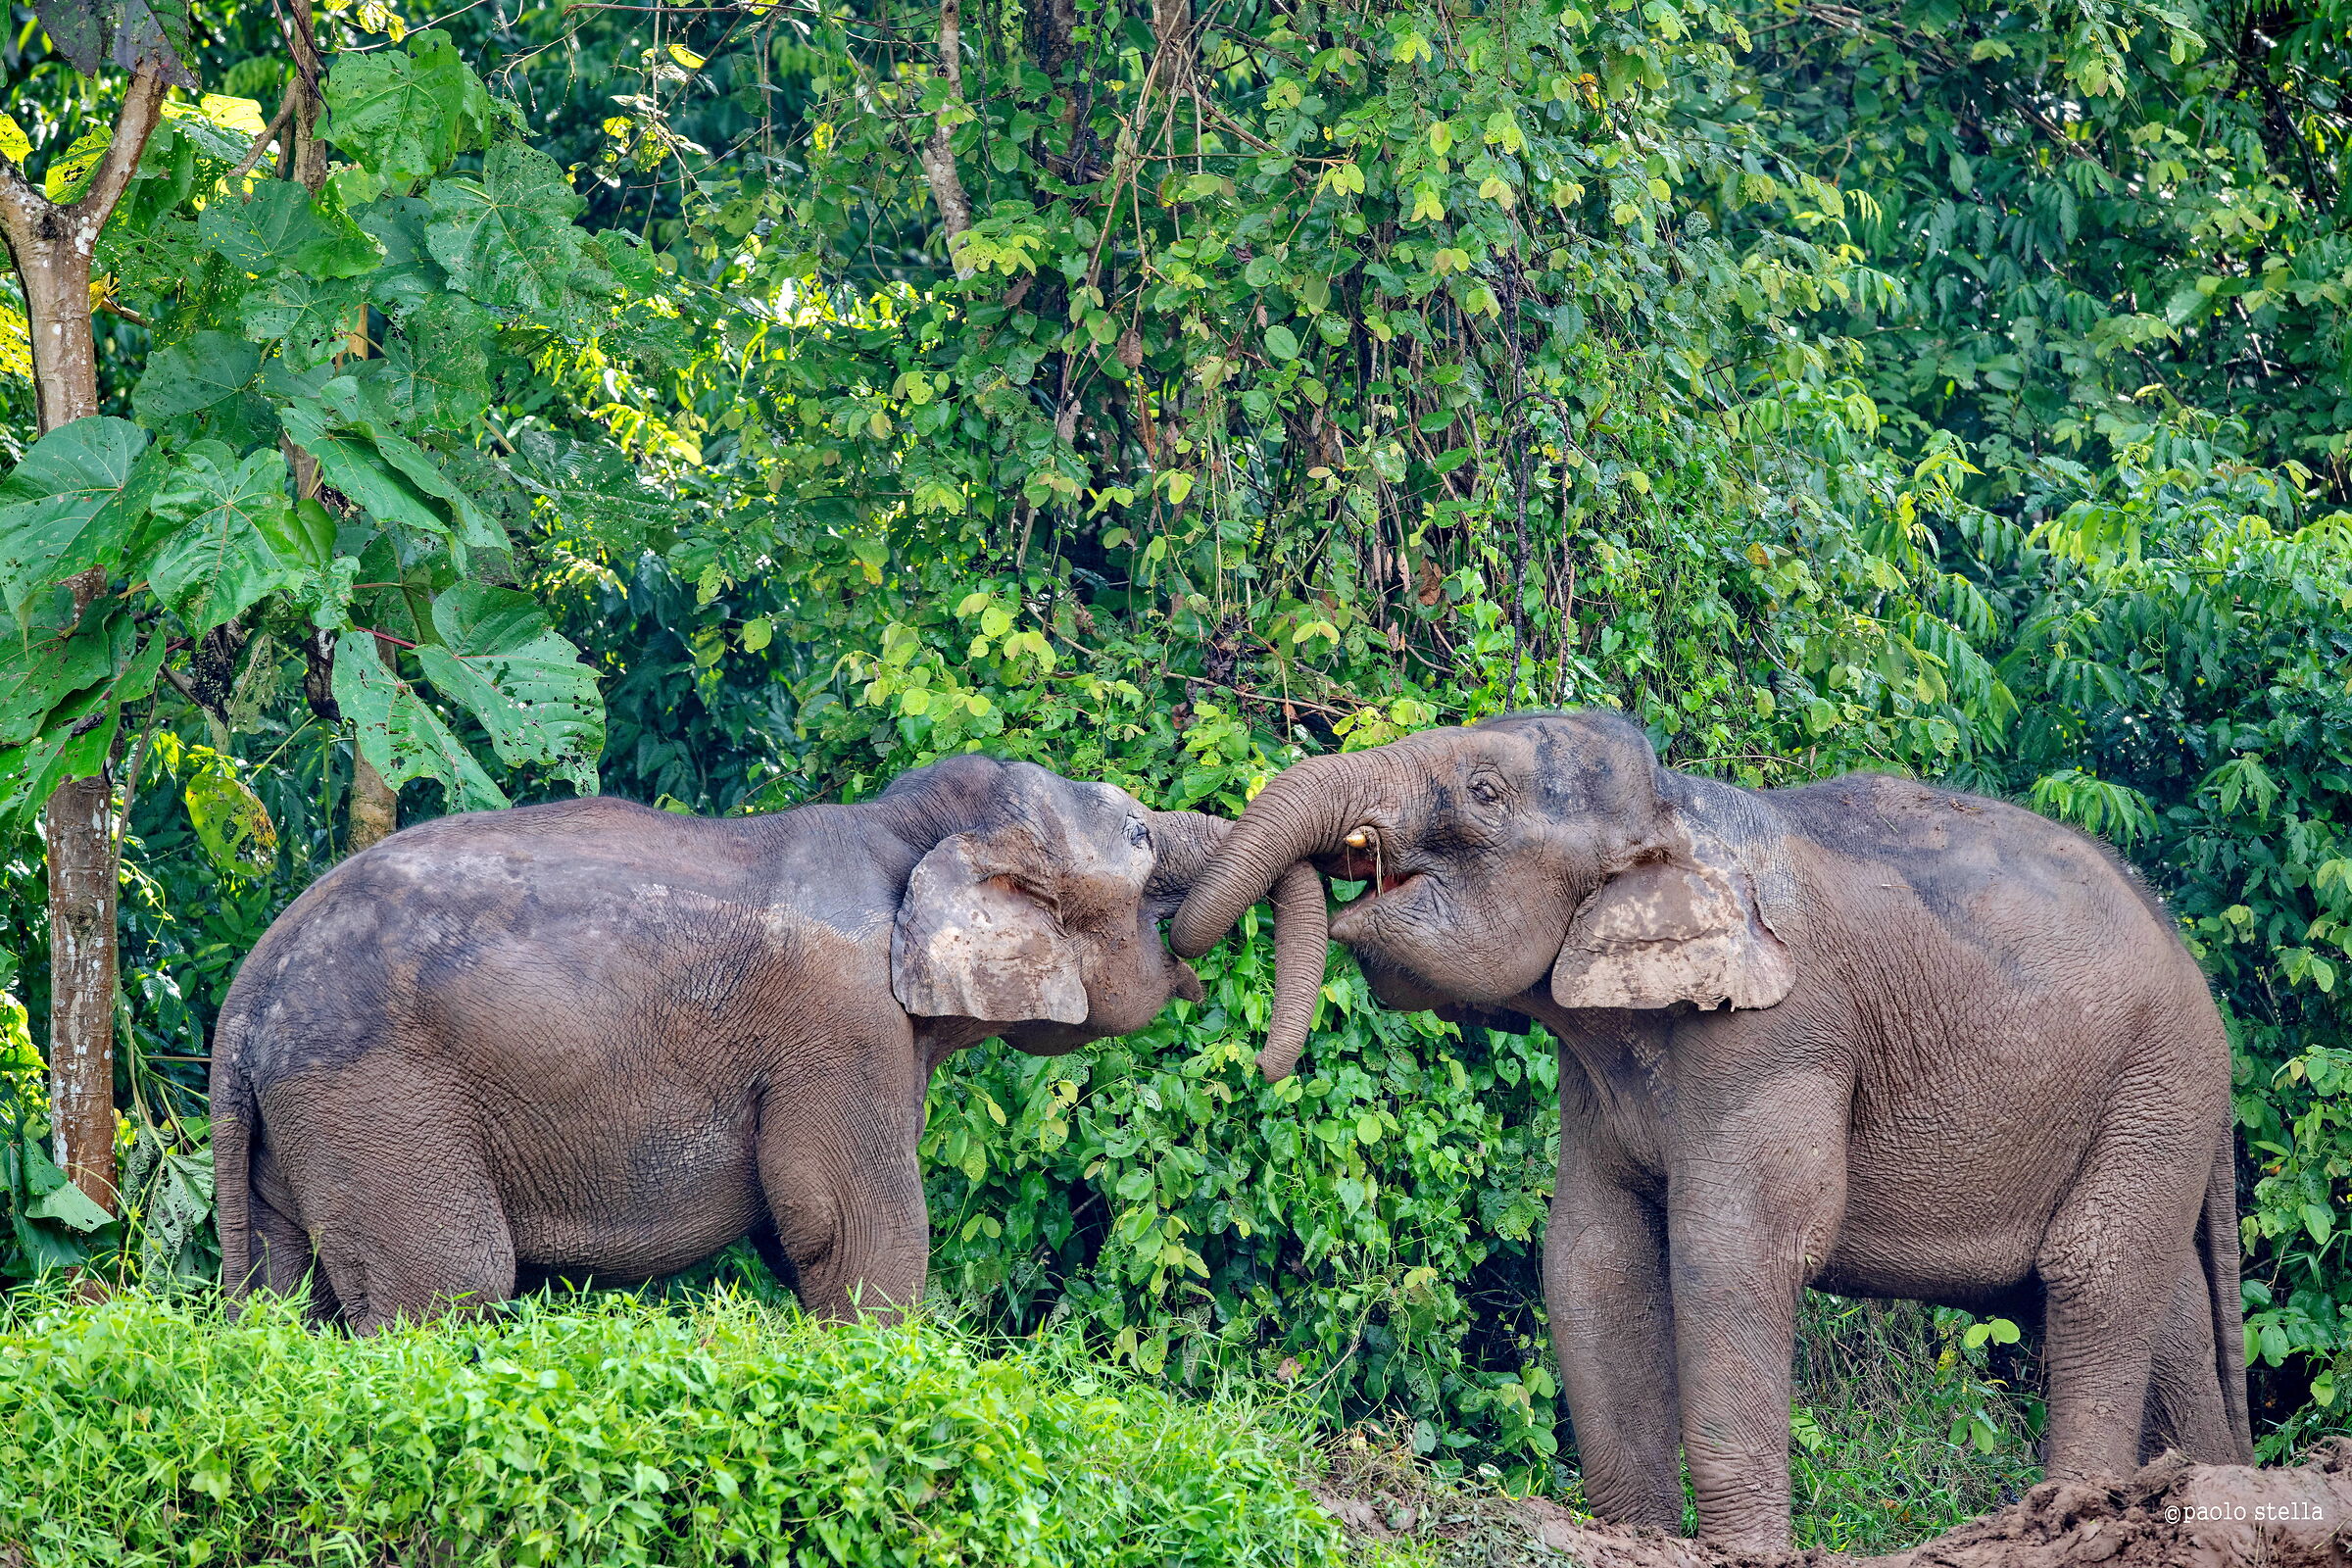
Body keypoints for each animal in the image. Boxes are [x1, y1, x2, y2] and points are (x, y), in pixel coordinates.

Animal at [211, 753, 1323, 1333]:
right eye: (1138, 839)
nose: (1270, 1063)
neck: (903, 823)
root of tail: (246, 995)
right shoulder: (840, 1025)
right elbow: (855, 1230)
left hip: (303, 1120)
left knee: (285, 1293)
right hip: (378, 1096)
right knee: (446, 1285)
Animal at [1169, 709, 2251, 1550]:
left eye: (1482, 792)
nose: (1260, 1062)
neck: (1674, 807)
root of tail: (2196, 968)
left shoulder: (1780, 1032)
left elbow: (1733, 1245)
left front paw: (1739, 1548)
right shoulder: (1596, 1066)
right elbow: (1594, 1253)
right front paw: (1639, 1535)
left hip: (2156, 1082)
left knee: (2094, 1275)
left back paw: (2071, 1515)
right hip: (2150, 1108)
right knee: (2164, 1314)